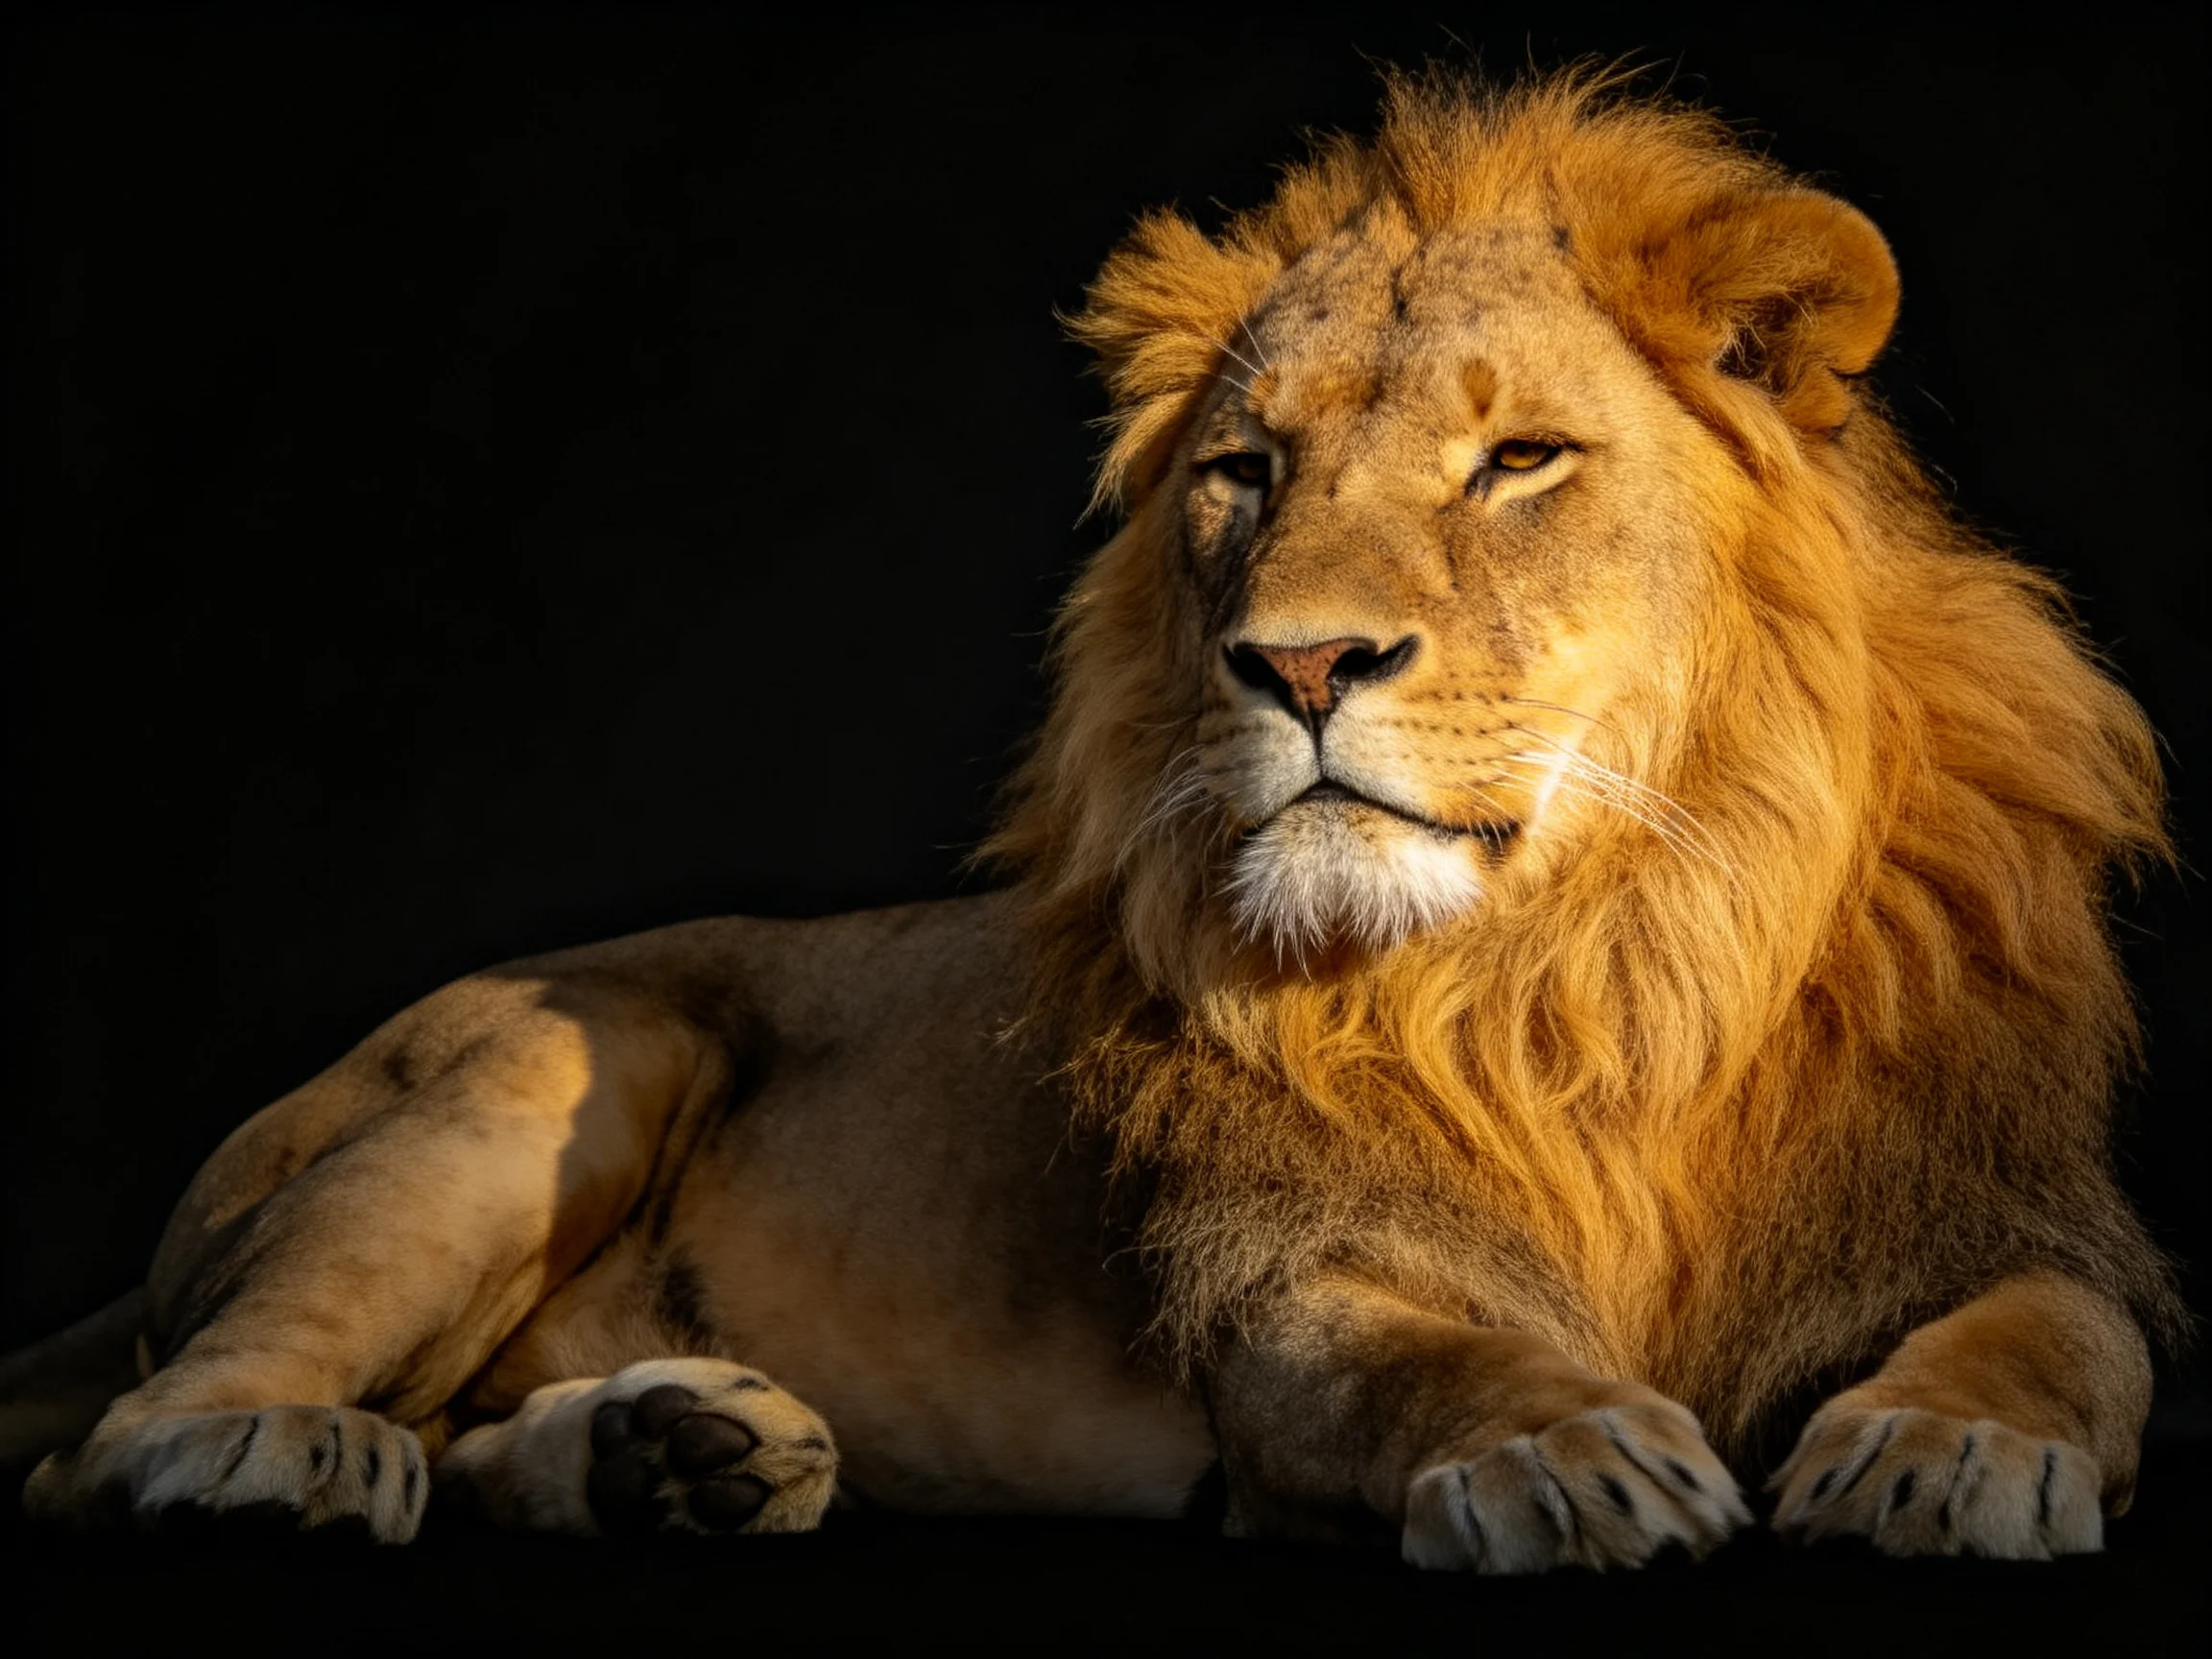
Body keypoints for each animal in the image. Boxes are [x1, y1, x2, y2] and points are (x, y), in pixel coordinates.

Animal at [2, 70, 2180, 1571]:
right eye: (1245, 469)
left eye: (1517, 461)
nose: (1297, 663)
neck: (1592, 962)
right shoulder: (1289, 1289)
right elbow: (1424, 1360)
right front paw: (1565, 1450)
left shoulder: (1993, 1207)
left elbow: (2070, 1338)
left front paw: (1943, 1448)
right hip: (553, 1058)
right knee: (113, 1435)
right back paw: (273, 1454)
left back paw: (667, 1459)